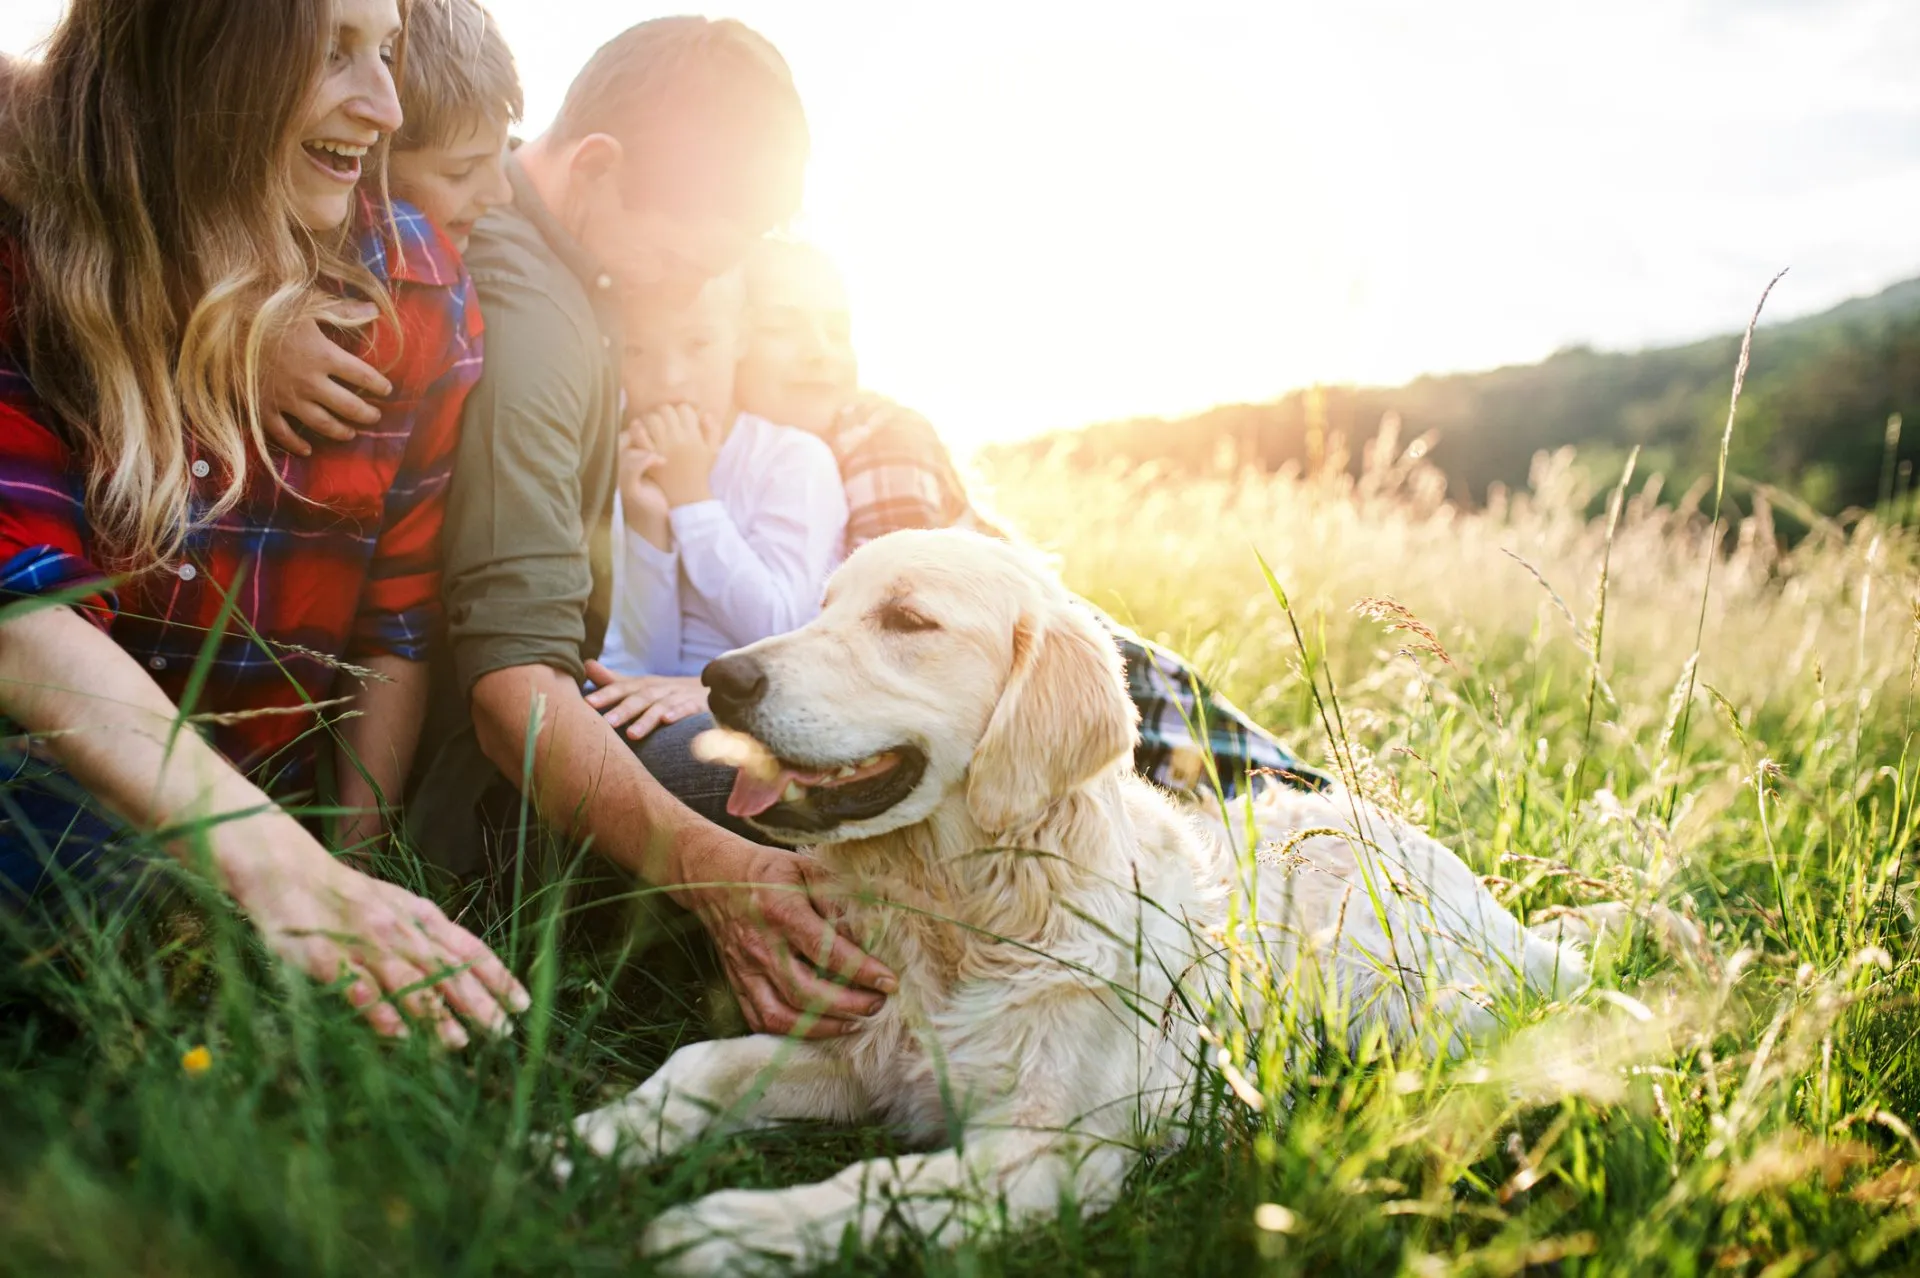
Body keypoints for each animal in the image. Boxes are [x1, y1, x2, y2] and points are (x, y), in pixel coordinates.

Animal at [560, 525, 1605, 1266]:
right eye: (824, 609)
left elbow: (878, 1185)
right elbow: (701, 1064)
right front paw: (593, 1138)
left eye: (908, 622)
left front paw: (730, 1226)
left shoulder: (1054, 1152)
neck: (970, 915)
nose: (719, 678)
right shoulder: (869, 1056)